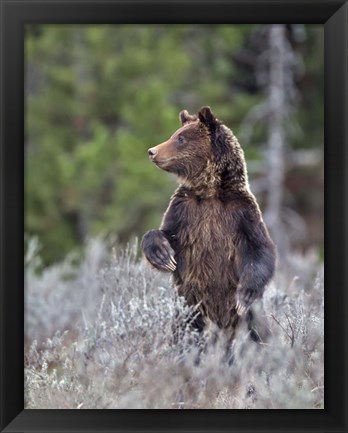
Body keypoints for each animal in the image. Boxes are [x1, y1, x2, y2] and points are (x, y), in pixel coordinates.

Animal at [140, 106, 276, 346]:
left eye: (181, 138)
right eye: (176, 134)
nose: (152, 151)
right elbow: (164, 233)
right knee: (184, 331)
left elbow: (260, 250)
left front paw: (244, 295)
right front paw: (163, 255)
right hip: (189, 307)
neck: (209, 190)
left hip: (247, 319)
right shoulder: (184, 210)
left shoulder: (241, 213)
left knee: (257, 332)